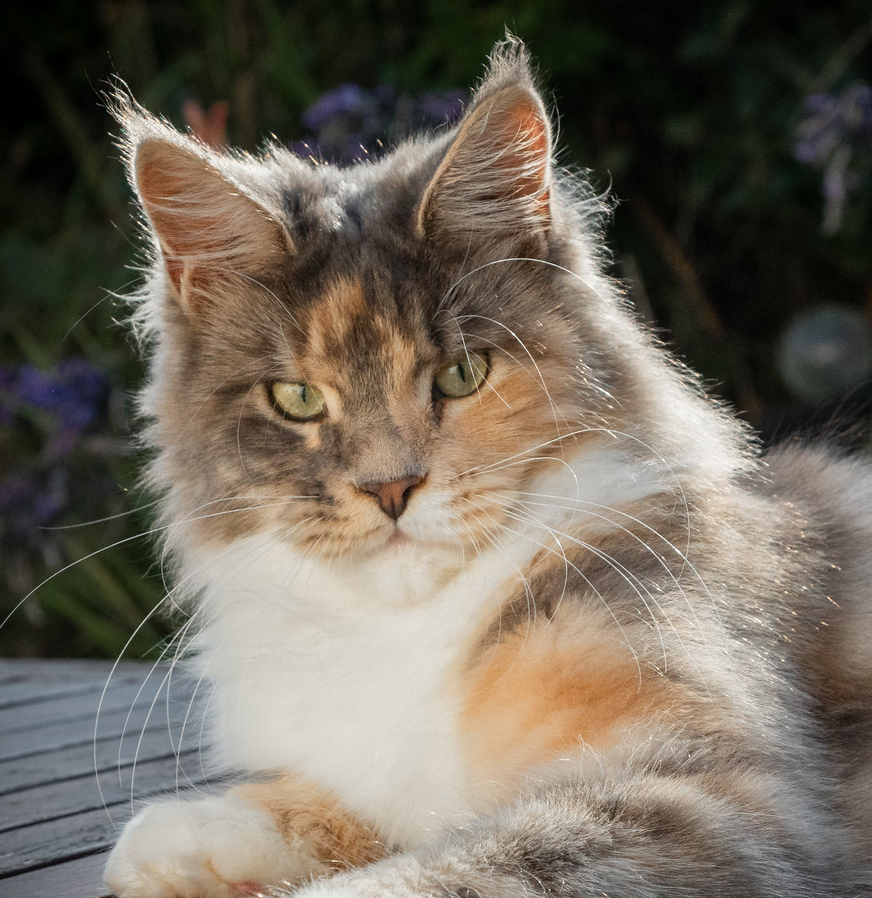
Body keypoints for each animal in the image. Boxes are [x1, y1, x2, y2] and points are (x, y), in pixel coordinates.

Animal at [104, 36, 872, 896]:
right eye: (297, 398)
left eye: (461, 375)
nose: (390, 488)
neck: (406, 632)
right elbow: (348, 806)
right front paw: (189, 836)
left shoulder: (714, 792)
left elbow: (447, 864)